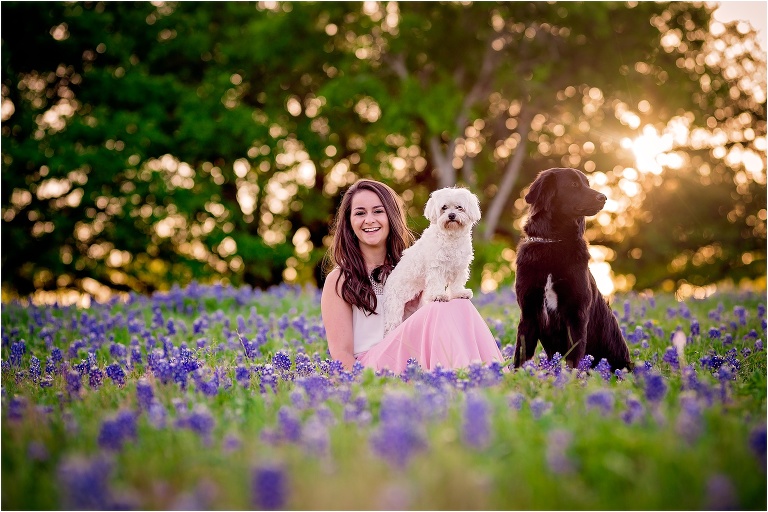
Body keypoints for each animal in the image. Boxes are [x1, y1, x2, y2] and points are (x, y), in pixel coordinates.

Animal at [382, 186, 484, 334]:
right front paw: (439, 295)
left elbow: (457, 283)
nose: (451, 215)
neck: (451, 237)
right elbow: (437, 282)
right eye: (444, 207)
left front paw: (459, 293)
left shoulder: (459, 267)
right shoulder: (436, 266)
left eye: (459, 207)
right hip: (394, 308)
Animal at [512, 168, 632, 372]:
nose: (604, 197)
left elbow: (573, 360)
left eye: (587, 183)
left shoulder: (576, 314)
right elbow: (519, 356)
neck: (554, 242)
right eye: (574, 185)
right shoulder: (528, 312)